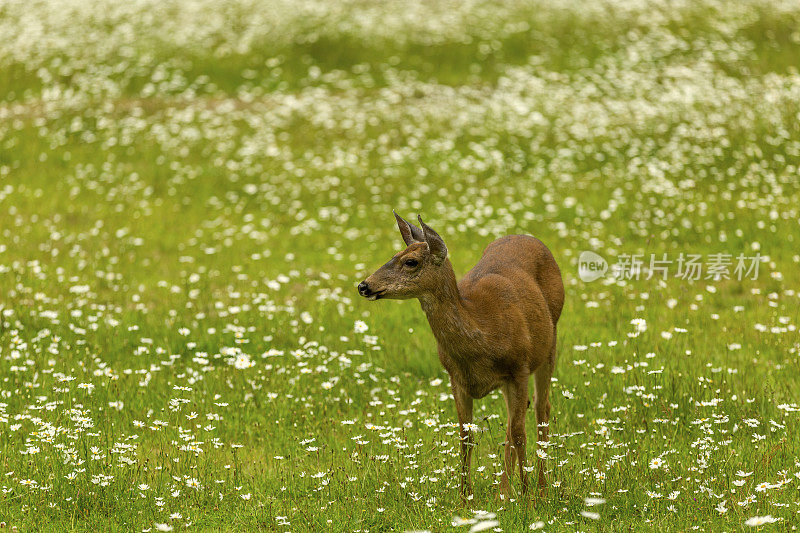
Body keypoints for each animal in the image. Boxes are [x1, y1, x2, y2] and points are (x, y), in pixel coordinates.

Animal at [360, 211, 564, 498]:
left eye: (410, 261)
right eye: (394, 254)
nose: (364, 285)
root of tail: (527, 237)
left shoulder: (519, 367)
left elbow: (520, 433)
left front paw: (527, 498)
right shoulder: (456, 377)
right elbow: (465, 436)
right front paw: (465, 498)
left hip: (549, 341)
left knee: (540, 410)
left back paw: (541, 489)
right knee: (518, 415)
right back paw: (503, 492)